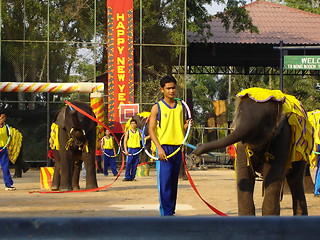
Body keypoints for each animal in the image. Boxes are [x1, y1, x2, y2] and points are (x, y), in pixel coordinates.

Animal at [194, 87, 312, 216]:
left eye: (266, 120)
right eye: (239, 113)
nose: (197, 149)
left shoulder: (283, 137)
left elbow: (272, 177)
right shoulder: (241, 145)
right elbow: (245, 175)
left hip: (301, 153)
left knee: (295, 180)